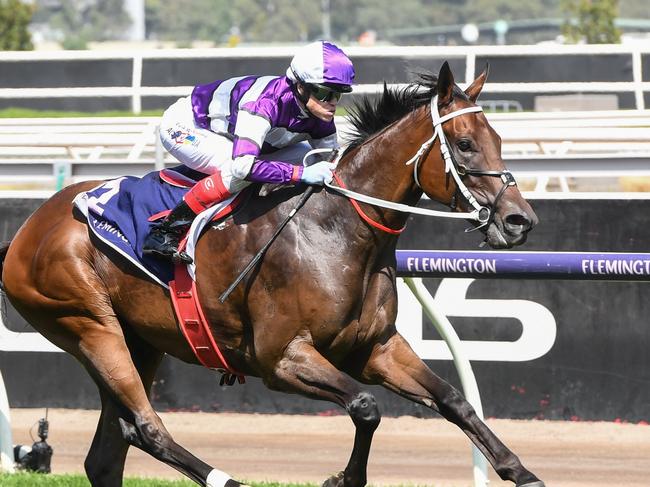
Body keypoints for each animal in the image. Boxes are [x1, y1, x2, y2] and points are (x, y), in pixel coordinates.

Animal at [0, 62, 540, 487]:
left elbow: (454, 400)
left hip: (141, 341)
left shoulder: (376, 348)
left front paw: (521, 471)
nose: (520, 221)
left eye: (498, 140)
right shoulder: (281, 358)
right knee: (147, 427)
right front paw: (343, 478)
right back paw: (227, 480)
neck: (335, 230)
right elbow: (366, 407)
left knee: (110, 452)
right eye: (465, 145)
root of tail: (27, 230)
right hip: (90, 327)